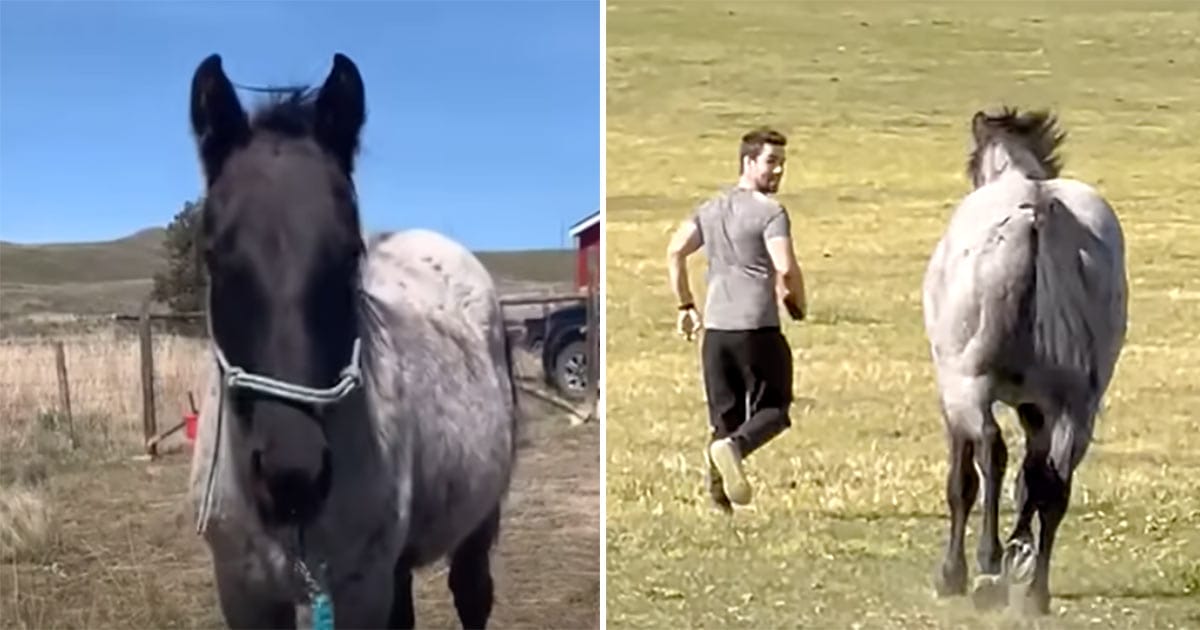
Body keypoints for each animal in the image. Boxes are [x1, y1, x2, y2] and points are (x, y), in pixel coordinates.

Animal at [186, 54, 516, 628]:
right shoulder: (244, 593)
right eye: (214, 256)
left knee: (472, 594)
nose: (292, 475)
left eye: (347, 253)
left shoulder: (360, 591)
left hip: (478, 518)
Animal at [921, 108, 1128, 614]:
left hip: (968, 386)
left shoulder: (953, 397)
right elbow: (1032, 479)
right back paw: (1035, 590)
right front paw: (1021, 549)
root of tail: (1035, 209)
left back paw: (987, 566)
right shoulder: (1036, 407)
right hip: (1077, 404)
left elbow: (963, 480)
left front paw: (954, 573)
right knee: (1055, 480)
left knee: (991, 453)